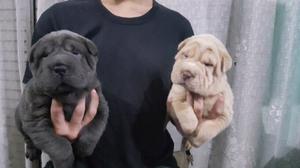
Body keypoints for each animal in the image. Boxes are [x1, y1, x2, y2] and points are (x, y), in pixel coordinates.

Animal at [15, 29, 109, 168]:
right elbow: (59, 145)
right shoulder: (37, 121)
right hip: (19, 118)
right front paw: (65, 162)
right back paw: (32, 152)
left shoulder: (99, 106)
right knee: (28, 138)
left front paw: (82, 150)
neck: (68, 96)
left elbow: (92, 131)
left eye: (75, 52)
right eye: (45, 55)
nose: (59, 67)